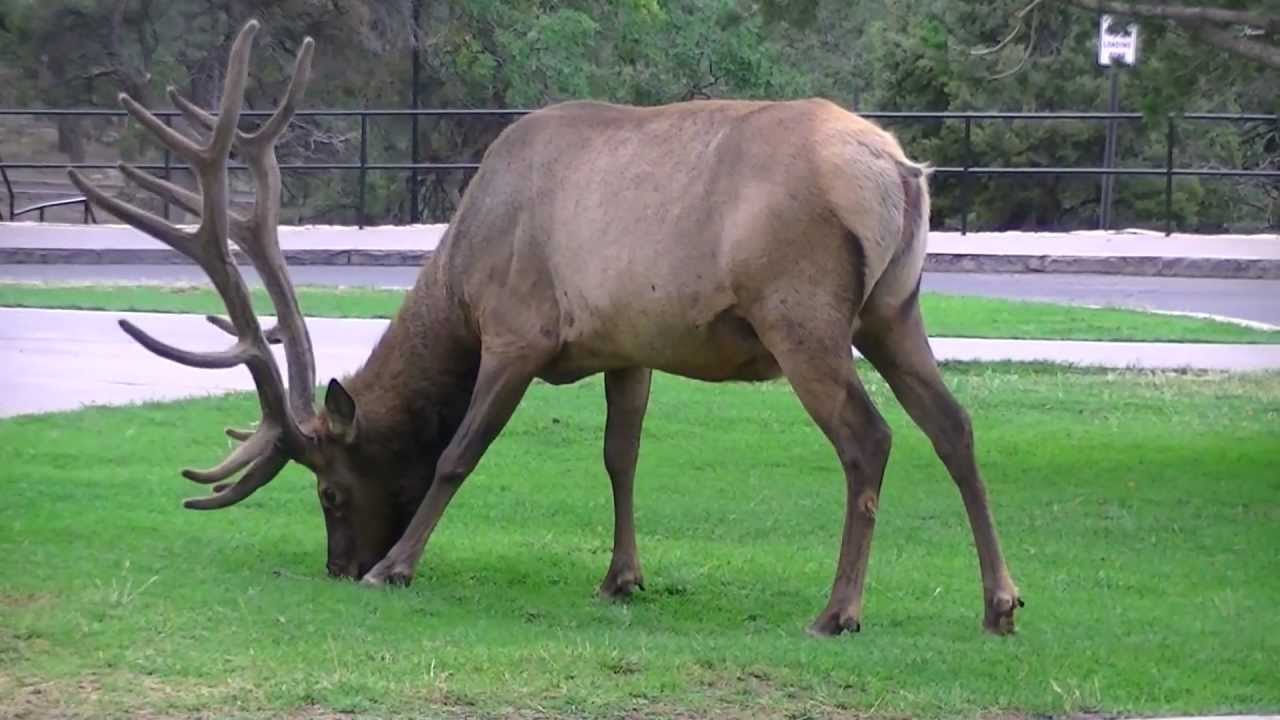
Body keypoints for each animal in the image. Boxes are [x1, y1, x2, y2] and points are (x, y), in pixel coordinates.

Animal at [70, 20, 1022, 637]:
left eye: (331, 491)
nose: (339, 566)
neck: (460, 276)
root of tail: (900, 171)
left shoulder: (517, 331)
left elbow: (457, 453)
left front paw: (396, 567)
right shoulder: (628, 347)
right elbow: (620, 456)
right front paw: (621, 577)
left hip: (804, 313)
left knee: (870, 438)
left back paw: (839, 610)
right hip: (894, 309)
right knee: (954, 425)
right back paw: (999, 602)